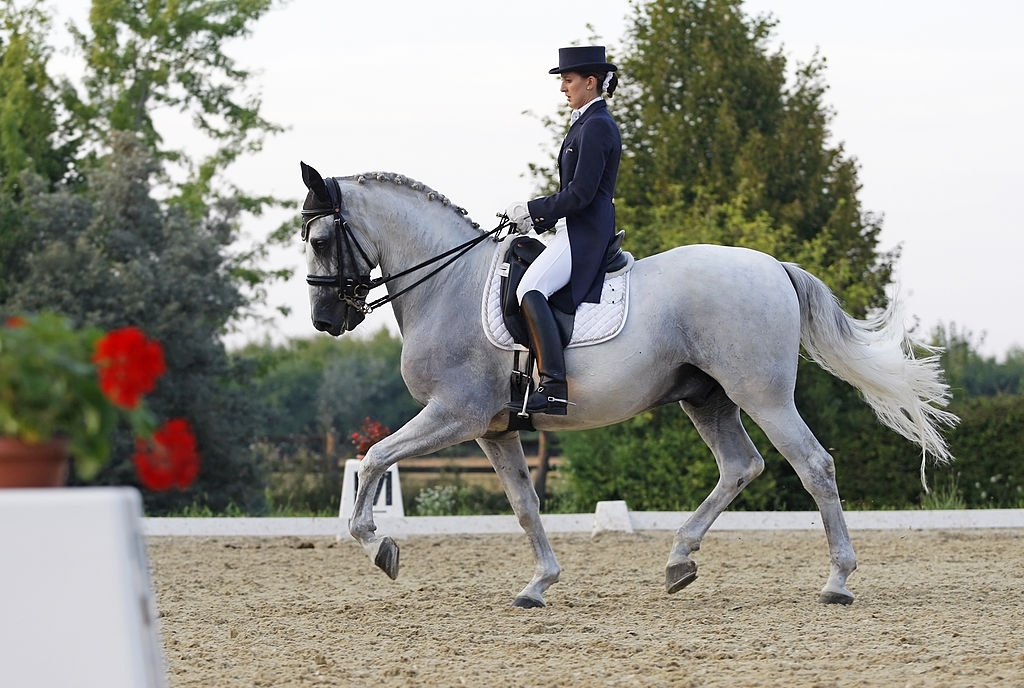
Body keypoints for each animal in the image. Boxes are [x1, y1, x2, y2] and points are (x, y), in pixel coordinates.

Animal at [298, 162, 958, 608]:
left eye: (322, 240)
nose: (326, 321)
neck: (447, 284)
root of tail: (773, 265)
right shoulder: (494, 429)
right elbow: (524, 505)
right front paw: (539, 584)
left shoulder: (455, 413)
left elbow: (375, 455)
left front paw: (377, 545)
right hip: (706, 398)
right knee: (741, 467)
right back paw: (679, 560)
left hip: (761, 395)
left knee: (813, 465)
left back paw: (837, 581)